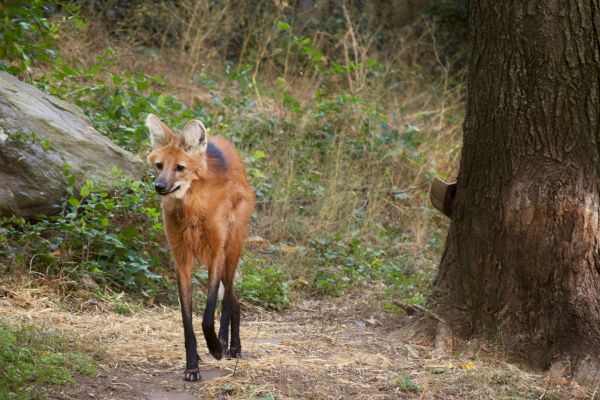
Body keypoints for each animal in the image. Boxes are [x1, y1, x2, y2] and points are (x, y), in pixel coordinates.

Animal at [148, 113, 258, 382]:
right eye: (159, 165)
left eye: (180, 167)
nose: (160, 186)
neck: (190, 207)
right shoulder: (181, 259)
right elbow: (187, 319)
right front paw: (192, 366)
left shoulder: (216, 252)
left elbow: (208, 315)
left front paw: (216, 347)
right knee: (234, 297)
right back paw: (231, 345)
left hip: (231, 249)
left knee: (229, 297)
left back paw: (229, 345)